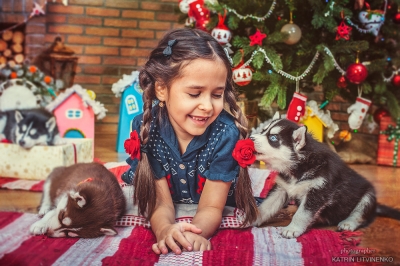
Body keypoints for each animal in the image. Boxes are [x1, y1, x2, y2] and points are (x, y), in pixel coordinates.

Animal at [250, 112, 400, 239]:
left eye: (273, 138)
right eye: (263, 131)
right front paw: (252, 219)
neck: (298, 168)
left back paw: (348, 222)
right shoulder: (281, 188)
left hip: (368, 196)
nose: (251, 137)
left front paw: (292, 228)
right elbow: (265, 206)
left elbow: (301, 214)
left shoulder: (318, 191)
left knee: (360, 214)